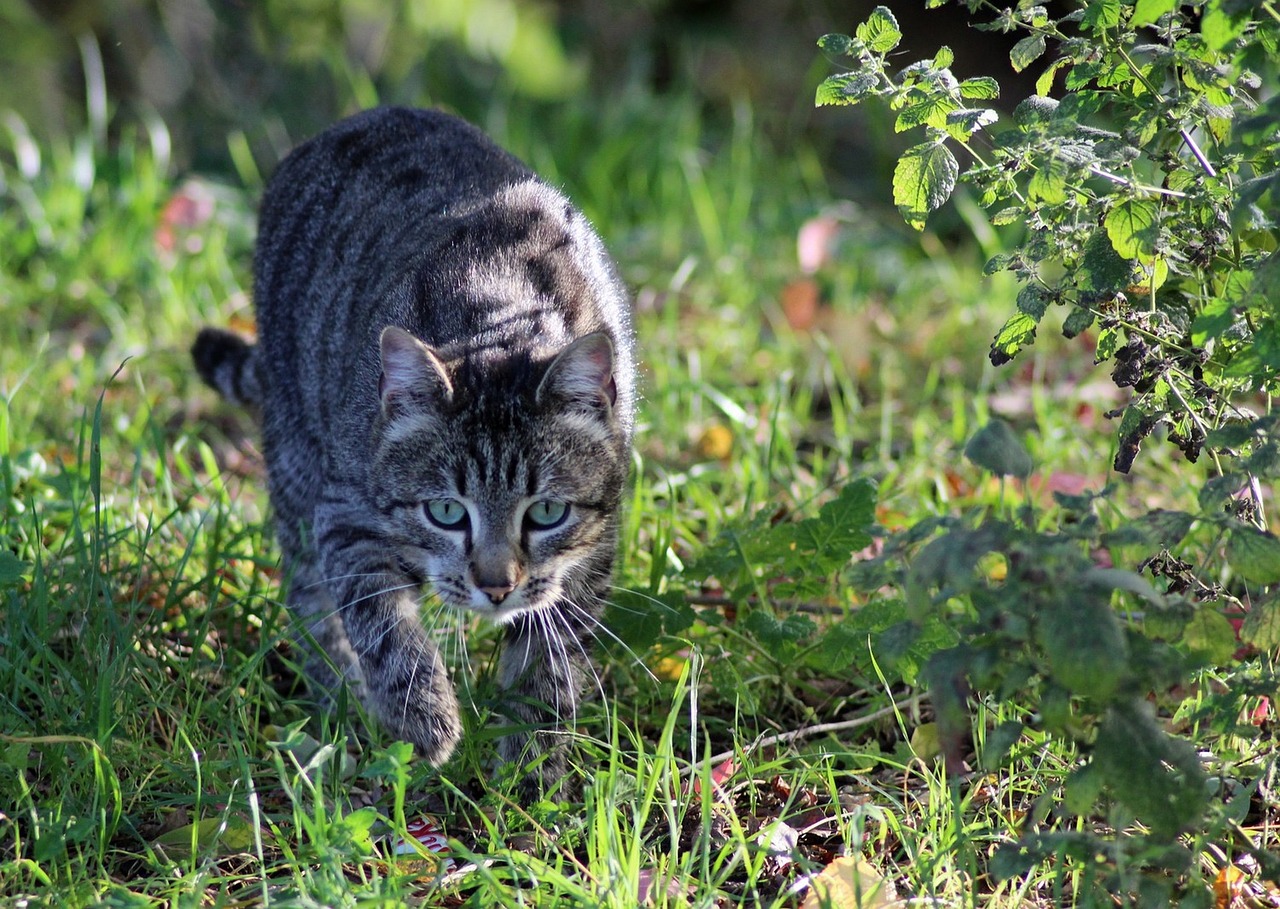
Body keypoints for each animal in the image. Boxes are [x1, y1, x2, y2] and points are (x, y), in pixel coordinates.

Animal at [193, 104, 634, 788]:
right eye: (446, 512)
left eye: (546, 512)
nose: (496, 587)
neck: (497, 314)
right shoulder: (344, 515)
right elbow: (380, 623)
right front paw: (423, 715)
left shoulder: (594, 549)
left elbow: (551, 661)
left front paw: (530, 765)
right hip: (296, 459)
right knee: (310, 597)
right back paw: (340, 702)